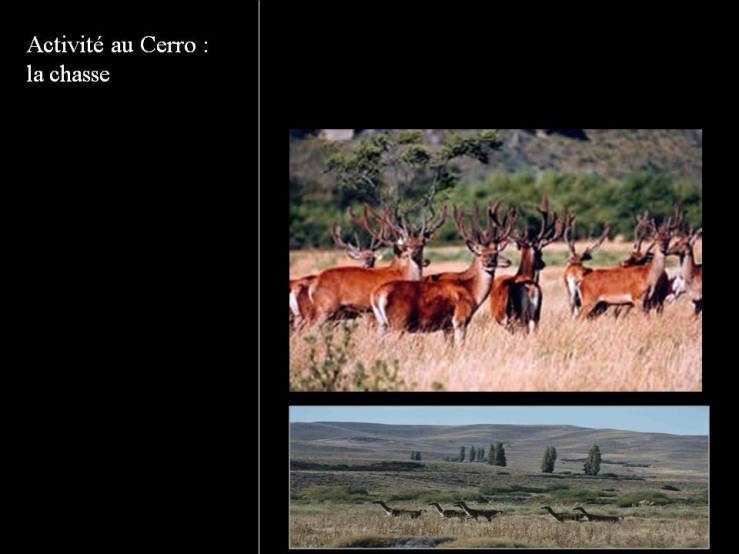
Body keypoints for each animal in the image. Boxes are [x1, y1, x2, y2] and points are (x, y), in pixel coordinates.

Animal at [304, 203, 446, 324]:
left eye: (422, 244)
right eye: (408, 245)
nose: (415, 255)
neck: (403, 274)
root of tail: (314, 284)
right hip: (326, 307)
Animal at [370, 201, 516, 348]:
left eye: (495, 253)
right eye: (480, 253)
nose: (489, 263)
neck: (472, 291)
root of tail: (377, 295)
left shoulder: (447, 327)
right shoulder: (460, 319)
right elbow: (460, 346)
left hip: (382, 324)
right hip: (398, 323)